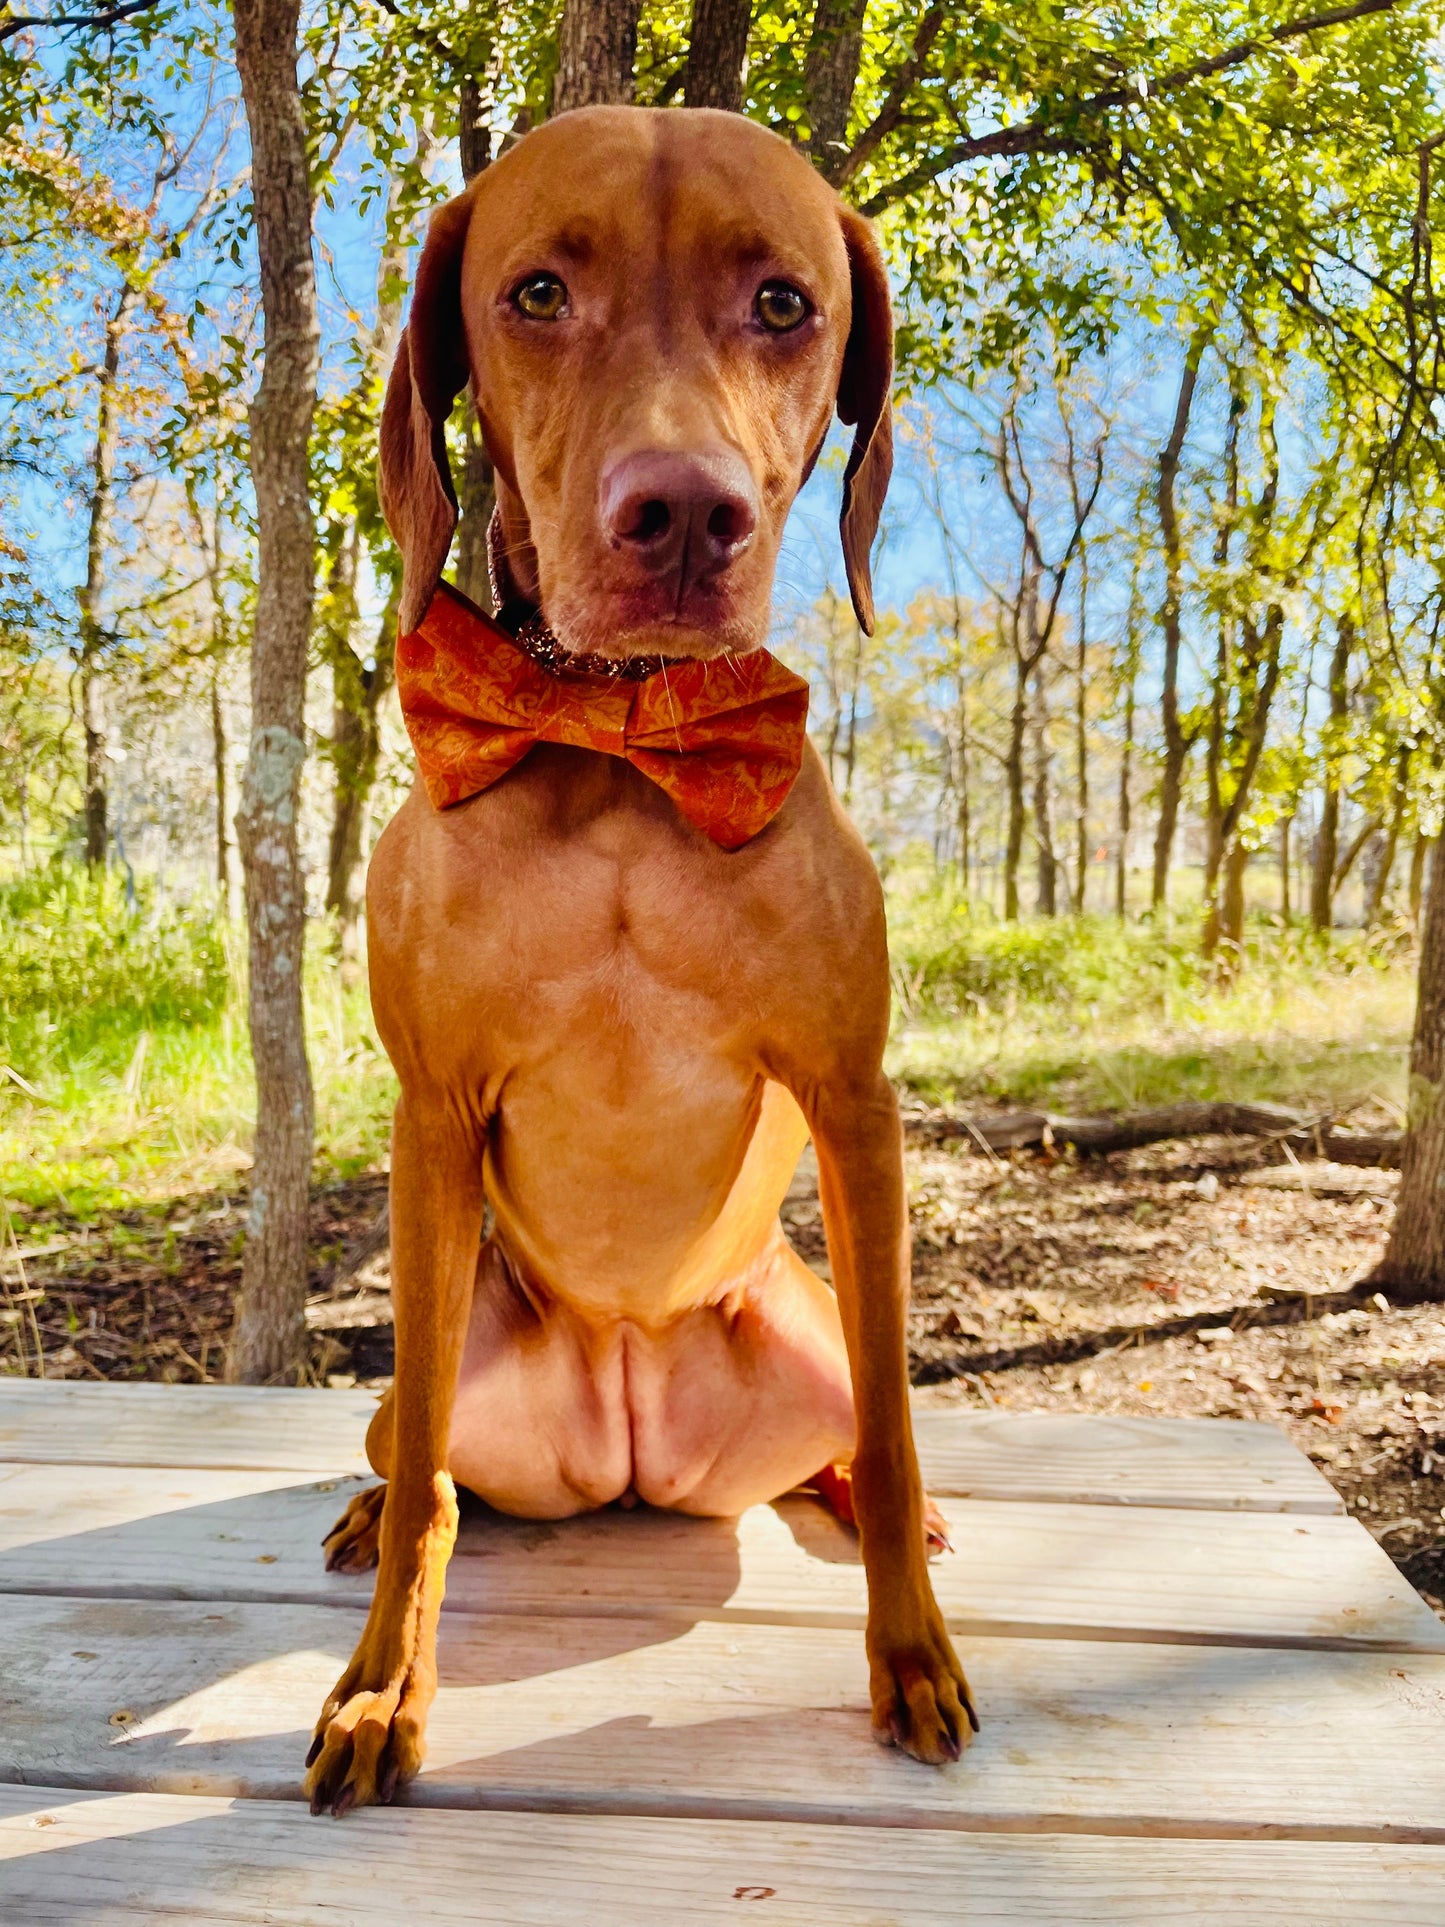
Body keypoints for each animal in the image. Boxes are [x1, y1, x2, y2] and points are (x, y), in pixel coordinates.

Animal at [310, 105, 978, 1819]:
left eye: (784, 304)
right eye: (538, 293)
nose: (681, 515)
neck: (619, 742)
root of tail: (629, 1435)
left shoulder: (854, 1101)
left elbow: (903, 1435)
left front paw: (912, 1650)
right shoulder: (430, 1114)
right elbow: (432, 1487)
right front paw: (382, 1685)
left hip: (813, 1343)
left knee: (864, 1431)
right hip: (440, 1346)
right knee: (416, 1451)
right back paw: (369, 1515)